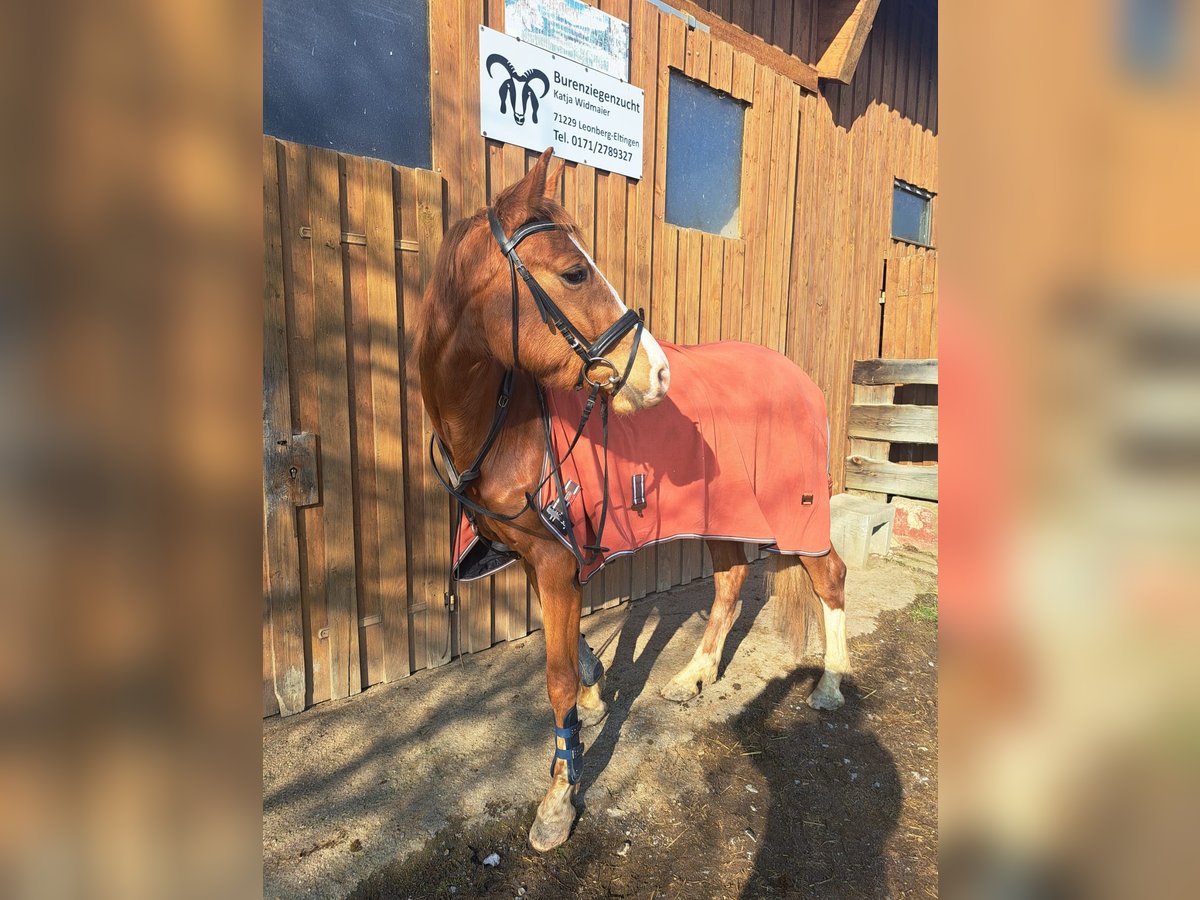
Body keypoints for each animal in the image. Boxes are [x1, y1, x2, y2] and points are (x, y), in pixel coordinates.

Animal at [417, 150, 849, 854]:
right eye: (573, 272)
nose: (658, 373)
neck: (504, 426)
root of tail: (801, 379)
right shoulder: (541, 555)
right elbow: (572, 649)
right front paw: (594, 698)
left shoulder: (555, 560)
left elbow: (556, 676)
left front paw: (559, 798)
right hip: (723, 514)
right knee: (731, 581)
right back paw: (694, 674)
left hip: (798, 514)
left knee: (829, 576)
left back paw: (834, 683)